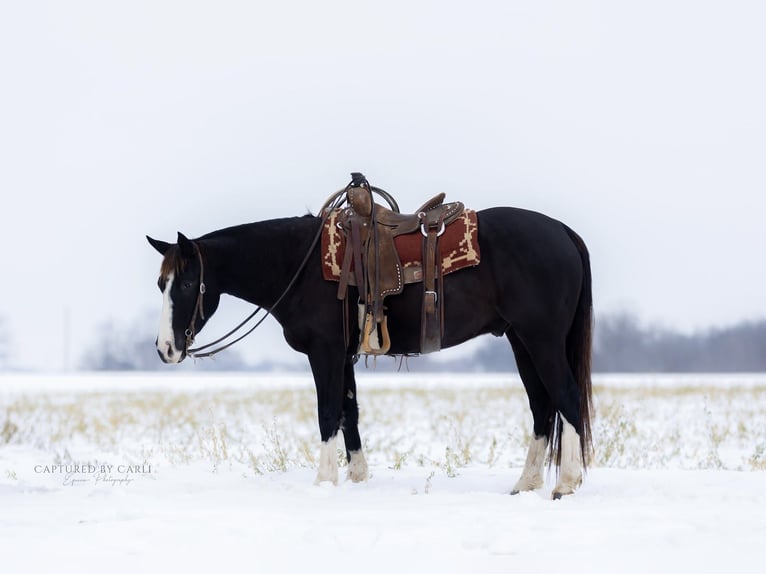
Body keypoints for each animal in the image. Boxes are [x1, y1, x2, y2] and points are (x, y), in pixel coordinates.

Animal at [146, 194, 593, 499]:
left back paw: (566, 484)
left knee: (566, 397)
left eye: (186, 284)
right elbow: (350, 413)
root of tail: (563, 231)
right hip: (521, 340)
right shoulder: (342, 356)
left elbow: (328, 413)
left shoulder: (325, 353)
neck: (298, 266)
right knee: (542, 405)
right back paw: (526, 483)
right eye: (161, 284)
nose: (165, 348)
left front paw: (324, 480)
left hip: (542, 339)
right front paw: (357, 478)